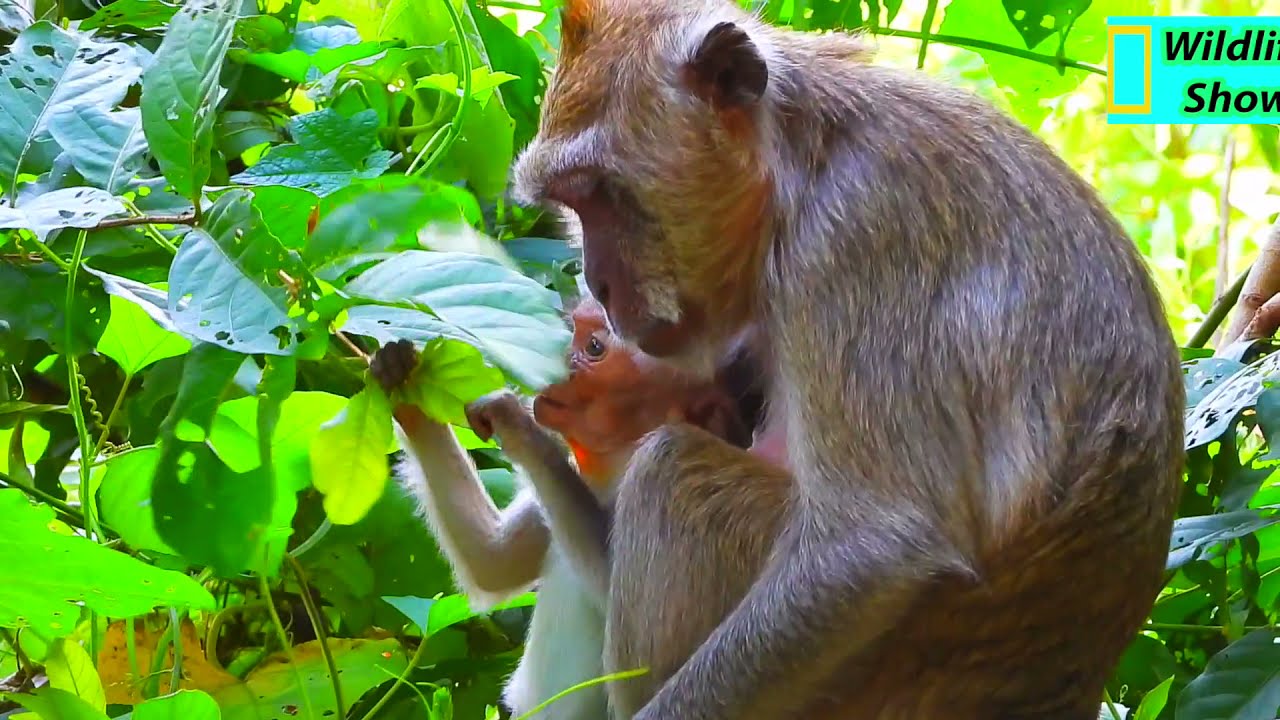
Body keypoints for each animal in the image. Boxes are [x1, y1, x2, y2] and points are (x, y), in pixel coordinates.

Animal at [370, 296, 755, 720]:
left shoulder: (689, 491)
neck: (615, 465)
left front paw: (518, 425)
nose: (552, 358)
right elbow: (494, 562)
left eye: (594, 347)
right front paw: (403, 383)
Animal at [509, 1, 1185, 718]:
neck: (801, 161)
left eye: (598, 193)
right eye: (573, 204)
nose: (599, 281)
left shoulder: (855, 239)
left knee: (671, 470)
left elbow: (872, 549)